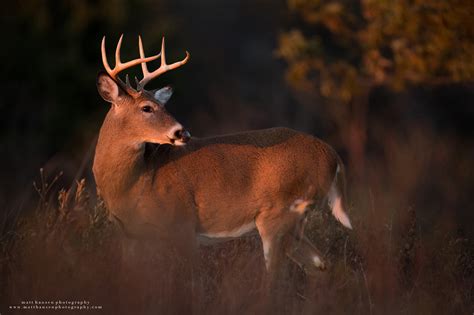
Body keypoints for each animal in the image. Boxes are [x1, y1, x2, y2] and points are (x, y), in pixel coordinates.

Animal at [93, 34, 352, 282]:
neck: (135, 182)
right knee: (320, 265)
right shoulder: (129, 236)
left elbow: (192, 281)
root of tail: (332, 155)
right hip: (294, 221)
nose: (182, 132)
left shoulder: (182, 224)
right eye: (147, 107)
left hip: (279, 213)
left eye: (161, 106)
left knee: (277, 277)